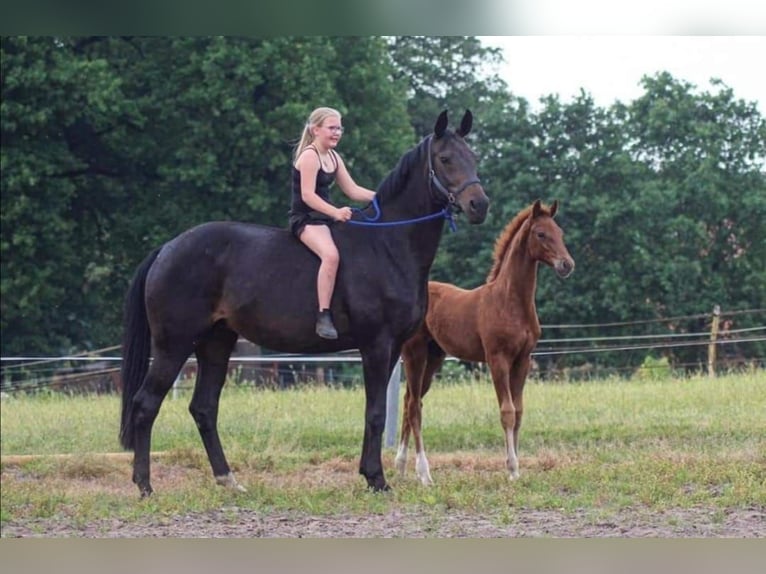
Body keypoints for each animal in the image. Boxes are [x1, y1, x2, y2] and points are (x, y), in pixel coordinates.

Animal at [121, 110, 492, 498]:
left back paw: (229, 480)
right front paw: (376, 478)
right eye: (445, 159)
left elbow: (375, 411)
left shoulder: (393, 349)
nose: (479, 205)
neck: (388, 245)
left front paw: (370, 474)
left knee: (204, 408)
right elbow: (375, 412)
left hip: (216, 343)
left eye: (473, 157)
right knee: (145, 405)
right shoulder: (376, 345)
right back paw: (145, 486)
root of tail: (167, 248)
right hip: (174, 344)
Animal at [400, 201, 572, 486]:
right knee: (414, 407)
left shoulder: (523, 360)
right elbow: (507, 411)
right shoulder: (497, 359)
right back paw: (424, 473)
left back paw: (400, 465)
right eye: (540, 234)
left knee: (408, 401)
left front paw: (517, 467)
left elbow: (519, 411)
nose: (566, 265)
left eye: (560, 232)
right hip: (415, 354)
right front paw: (511, 468)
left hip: (434, 358)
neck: (510, 301)